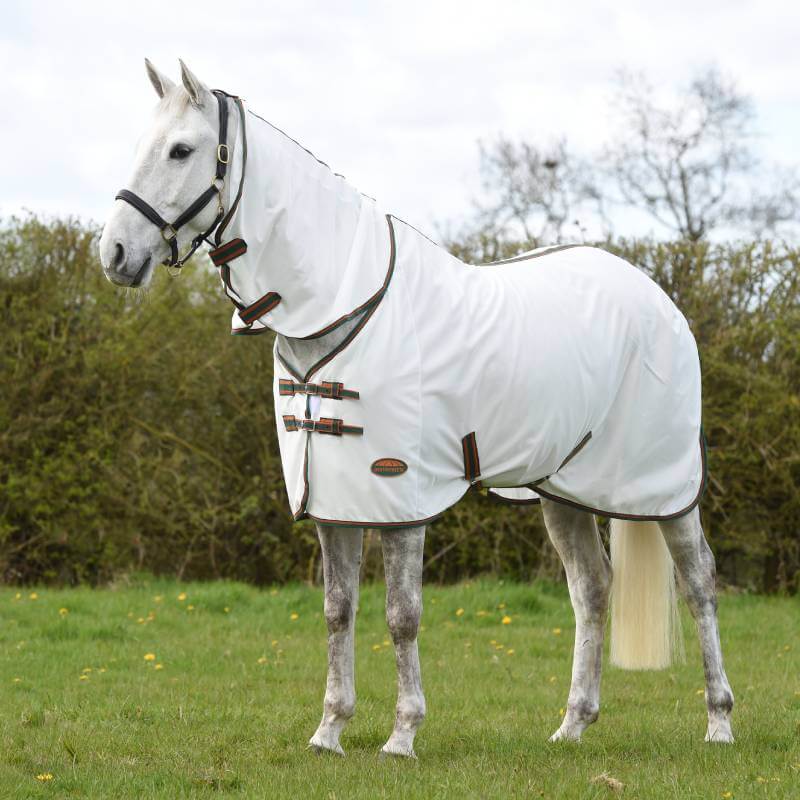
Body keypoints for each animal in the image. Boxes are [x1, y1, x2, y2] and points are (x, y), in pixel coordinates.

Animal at [98, 60, 734, 757]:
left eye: (181, 150)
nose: (115, 255)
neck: (343, 305)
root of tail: (657, 298)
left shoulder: (399, 497)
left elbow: (401, 615)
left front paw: (402, 735)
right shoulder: (334, 499)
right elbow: (338, 611)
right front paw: (330, 730)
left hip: (666, 487)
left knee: (698, 582)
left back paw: (719, 722)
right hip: (563, 489)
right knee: (591, 589)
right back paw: (572, 725)